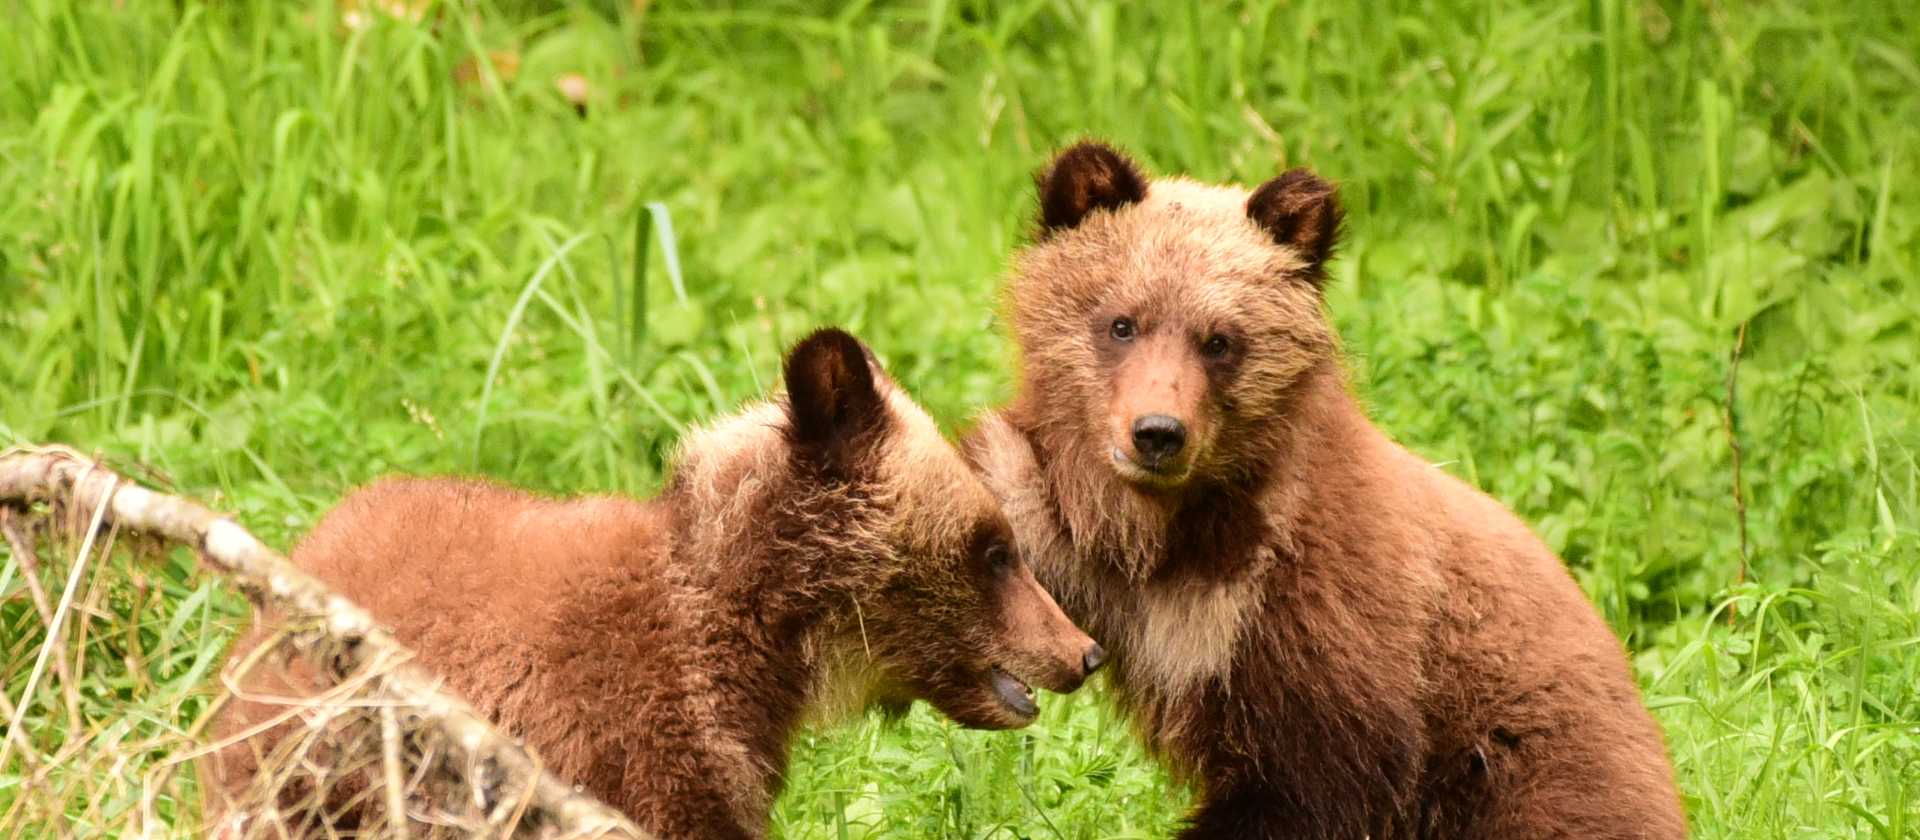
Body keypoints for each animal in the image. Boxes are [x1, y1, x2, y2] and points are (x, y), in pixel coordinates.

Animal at [963, 141, 1687, 839]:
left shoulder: (1318, 611)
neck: (1180, 532)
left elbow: (1312, 776)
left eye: (1220, 340)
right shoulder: (1074, 539)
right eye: (1121, 322)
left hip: (1531, 764)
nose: (1158, 434)